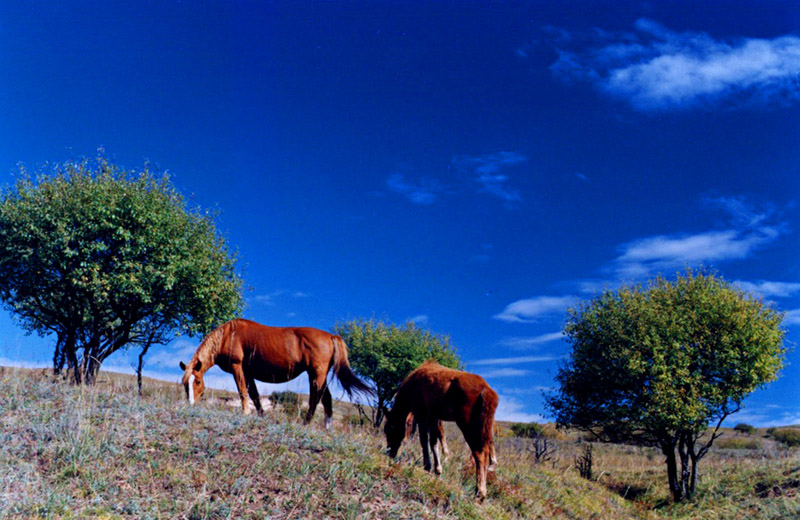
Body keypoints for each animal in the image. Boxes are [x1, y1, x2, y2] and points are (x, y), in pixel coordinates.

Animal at [180, 318, 374, 428]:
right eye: (184, 384)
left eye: (197, 382)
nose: (191, 404)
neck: (228, 335)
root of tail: (331, 336)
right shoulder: (248, 374)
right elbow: (255, 396)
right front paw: (260, 416)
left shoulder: (238, 367)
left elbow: (243, 392)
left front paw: (245, 413)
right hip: (319, 375)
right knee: (326, 399)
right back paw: (327, 428)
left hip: (316, 374)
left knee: (316, 398)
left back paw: (306, 423)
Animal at [382, 360, 500, 498]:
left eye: (390, 429)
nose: (390, 452)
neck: (411, 385)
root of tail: (487, 391)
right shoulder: (433, 417)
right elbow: (434, 442)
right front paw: (438, 470)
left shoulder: (421, 413)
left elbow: (424, 440)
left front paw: (427, 466)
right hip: (485, 426)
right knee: (486, 449)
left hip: (469, 426)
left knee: (479, 453)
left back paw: (480, 490)